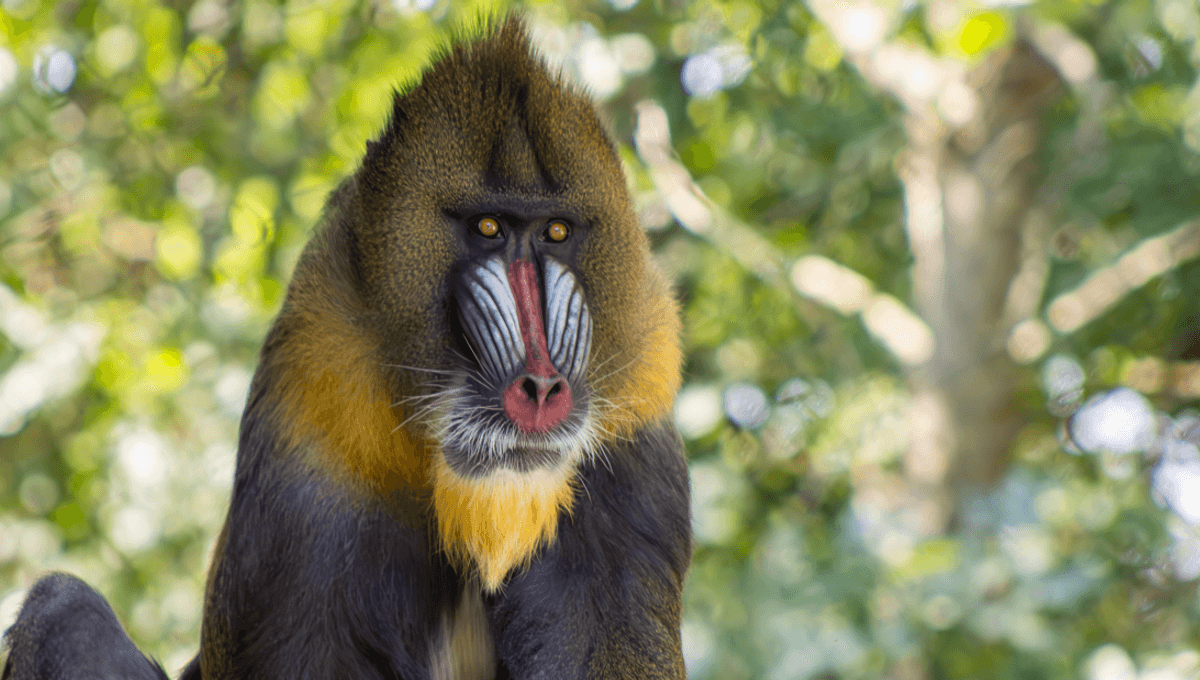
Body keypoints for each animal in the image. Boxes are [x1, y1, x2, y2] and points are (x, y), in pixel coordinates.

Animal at [1, 15, 691, 680]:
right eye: (488, 228)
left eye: (556, 233)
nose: (542, 389)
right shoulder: (316, 417)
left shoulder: (633, 436)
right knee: (62, 609)